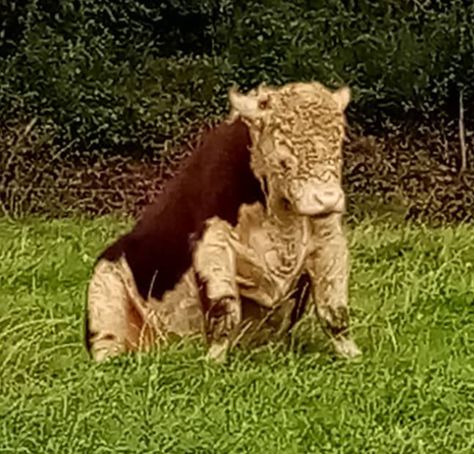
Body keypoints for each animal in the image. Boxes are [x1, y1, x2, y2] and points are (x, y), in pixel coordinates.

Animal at [85, 80, 362, 362]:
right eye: (284, 160)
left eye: (338, 149)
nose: (326, 199)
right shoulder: (212, 241)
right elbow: (224, 308)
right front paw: (213, 360)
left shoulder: (330, 239)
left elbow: (335, 310)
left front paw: (352, 355)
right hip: (104, 293)